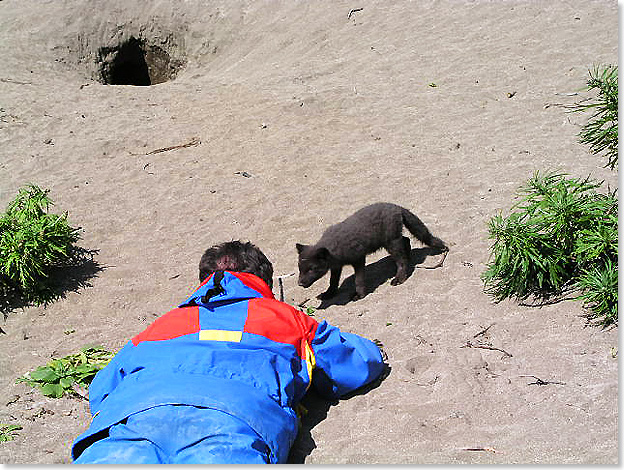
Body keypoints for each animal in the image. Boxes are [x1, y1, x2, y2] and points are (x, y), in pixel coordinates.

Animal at [294, 202, 446, 302]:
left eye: (312, 269)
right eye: (300, 268)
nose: (300, 284)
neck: (335, 250)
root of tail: (396, 206)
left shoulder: (358, 259)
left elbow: (359, 279)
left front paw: (359, 295)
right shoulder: (336, 266)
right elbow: (333, 282)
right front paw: (328, 294)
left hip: (391, 242)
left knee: (401, 260)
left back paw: (399, 278)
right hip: (391, 240)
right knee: (406, 241)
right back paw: (408, 258)